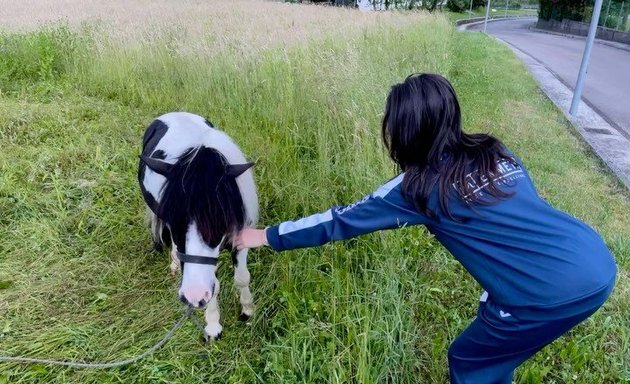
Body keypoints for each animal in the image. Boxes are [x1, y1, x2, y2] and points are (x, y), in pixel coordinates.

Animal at [138, 112, 260, 340]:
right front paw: (213, 326)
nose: (192, 295)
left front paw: (248, 310)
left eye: (220, 217)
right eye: (173, 215)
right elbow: (214, 287)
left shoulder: (239, 238)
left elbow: (241, 277)